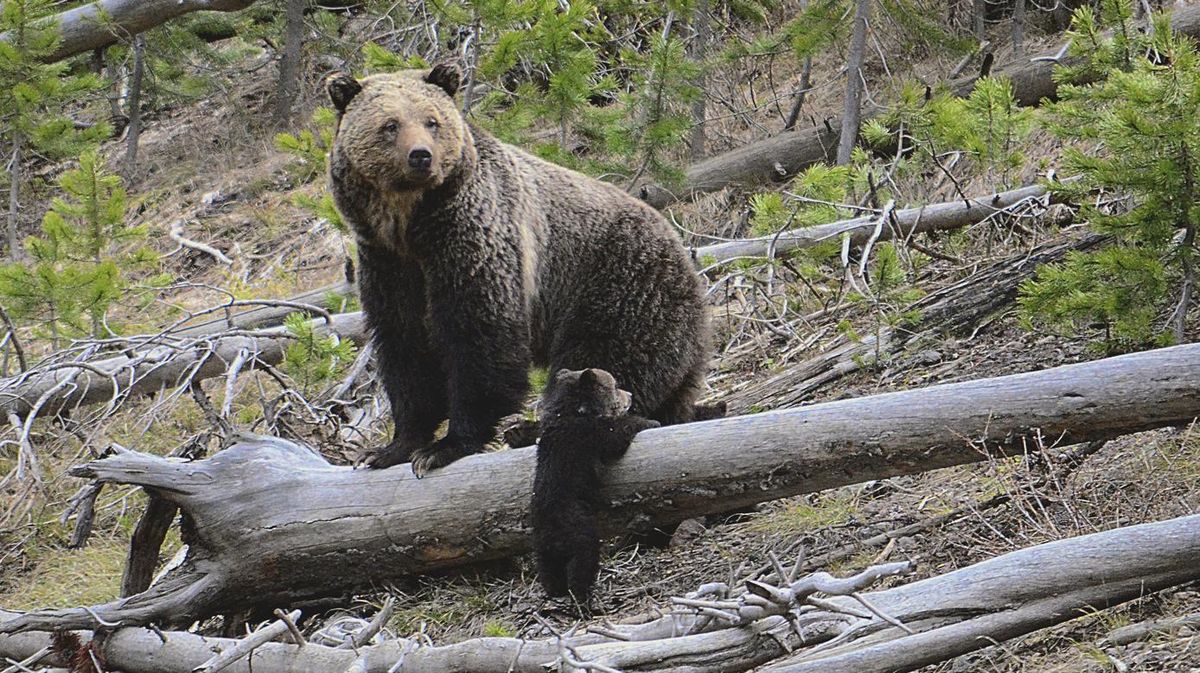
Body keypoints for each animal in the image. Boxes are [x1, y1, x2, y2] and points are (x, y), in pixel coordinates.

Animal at [324, 61, 705, 472]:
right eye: (390, 124)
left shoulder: (474, 240)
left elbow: (479, 336)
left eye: (431, 121)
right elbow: (405, 347)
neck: (410, 225)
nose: (421, 156)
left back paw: (530, 427)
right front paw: (390, 448)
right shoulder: (387, 263)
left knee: (604, 360)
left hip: (619, 286)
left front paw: (445, 446)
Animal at [530, 367, 657, 604]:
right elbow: (616, 437)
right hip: (577, 529)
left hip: (542, 547)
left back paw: (555, 590)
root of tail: (550, 534)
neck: (574, 411)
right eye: (615, 385)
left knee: (549, 570)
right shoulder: (589, 435)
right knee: (583, 561)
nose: (630, 395)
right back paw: (585, 598)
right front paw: (649, 421)